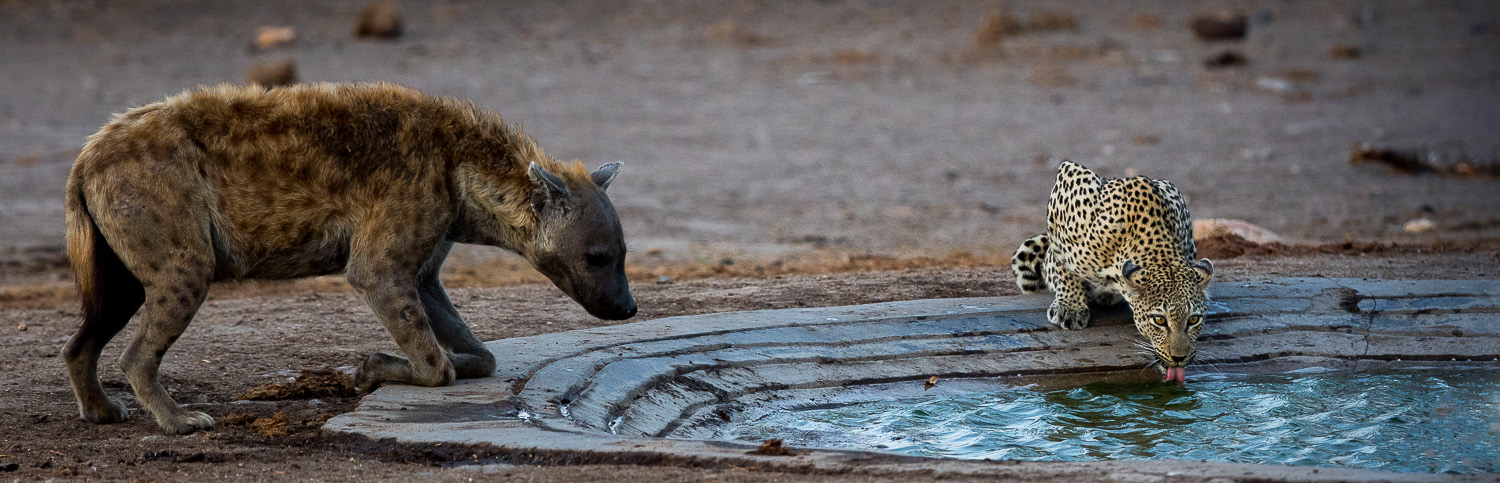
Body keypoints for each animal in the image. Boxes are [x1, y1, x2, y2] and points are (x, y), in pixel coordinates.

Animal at [1010, 161, 1213, 383]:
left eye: (1193, 319)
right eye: (1159, 320)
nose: (1179, 358)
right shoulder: (1068, 180)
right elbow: (1062, 260)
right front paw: (1070, 307)